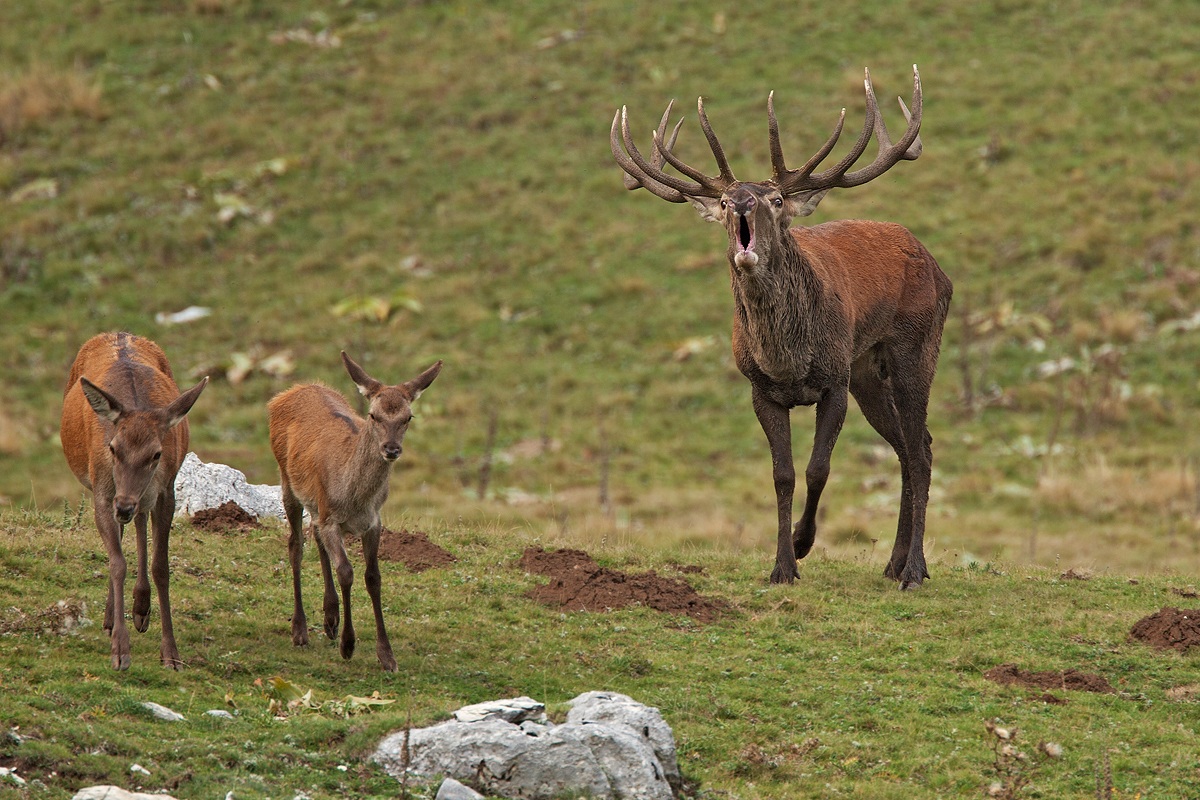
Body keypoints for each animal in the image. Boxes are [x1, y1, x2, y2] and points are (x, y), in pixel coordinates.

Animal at [60, 332, 208, 670]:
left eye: (157, 454)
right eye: (113, 448)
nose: (124, 505)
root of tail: (119, 333)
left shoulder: (167, 490)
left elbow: (161, 566)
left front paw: (171, 653)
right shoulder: (103, 492)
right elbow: (117, 562)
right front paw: (120, 651)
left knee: (139, 522)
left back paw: (141, 609)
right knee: (125, 532)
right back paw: (113, 618)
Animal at [268, 351, 442, 672]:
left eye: (408, 417)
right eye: (373, 415)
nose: (391, 449)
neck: (354, 499)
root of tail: (291, 391)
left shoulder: (373, 521)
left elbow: (373, 577)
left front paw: (386, 656)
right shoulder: (332, 518)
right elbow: (346, 571)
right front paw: (347, 645)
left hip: (317, 504)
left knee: (315, 535)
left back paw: (330, 618)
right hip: (287, 480)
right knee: (295, 545)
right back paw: (300, 630)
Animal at [612, 65, 952, 589]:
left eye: (775, 198)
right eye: (724, 201)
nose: (743, 203)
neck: (788, 359)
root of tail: (940, 269)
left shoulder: (833, 381)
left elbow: (817, 469)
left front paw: (803, 541)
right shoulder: (761, 389)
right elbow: (783, 474)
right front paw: (782, 565)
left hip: (915, 350)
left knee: (919, 450)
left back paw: (914, 569)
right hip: (868, 376)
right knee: (907, 448)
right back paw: (894, 561)